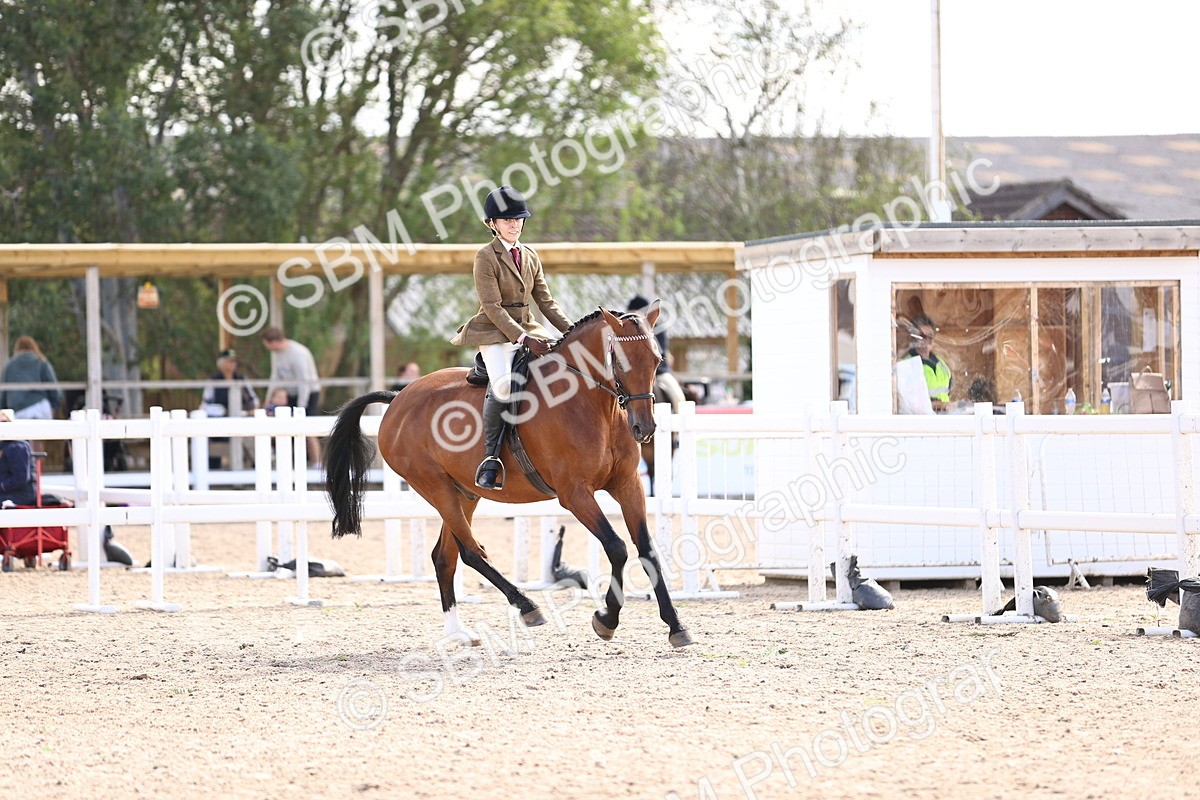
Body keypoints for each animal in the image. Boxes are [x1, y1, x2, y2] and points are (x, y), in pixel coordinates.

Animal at [324, 302, 693, 649]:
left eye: (657, 360)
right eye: (620, 360)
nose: (644, 428)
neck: (592, 405)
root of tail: (398, 397)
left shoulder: (628, 485)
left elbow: (647, 551)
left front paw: (676, 626)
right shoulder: (575, 494)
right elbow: (617, 548)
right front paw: (606, 619)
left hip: (464, 493)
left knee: (444, 557)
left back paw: (459, 633)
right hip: (436, 488)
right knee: (471, 552)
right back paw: (528, 607)